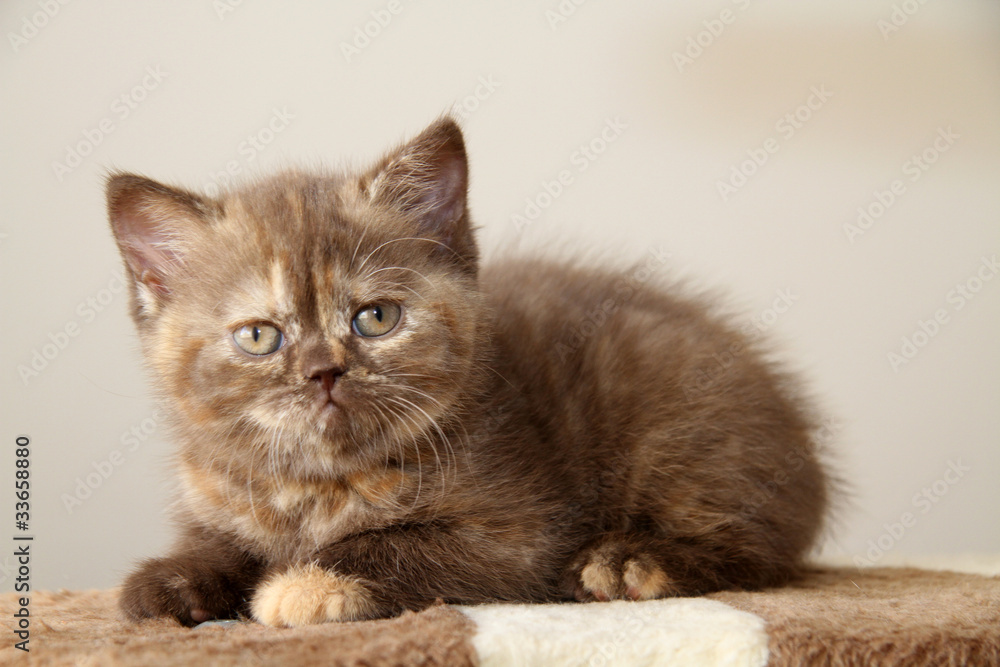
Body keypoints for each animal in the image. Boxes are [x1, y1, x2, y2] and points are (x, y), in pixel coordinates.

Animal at [109, 117, 828, 628]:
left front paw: (307, 584)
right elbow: (220, 542)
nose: (323, 371)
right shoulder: (214, 491)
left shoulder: (520, 534)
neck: (318, 483)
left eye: (375, 318)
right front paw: (172, 578)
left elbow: (390, 543)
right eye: (259, 336)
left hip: (673, 411)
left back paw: (629, 561)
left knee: (758, 547)